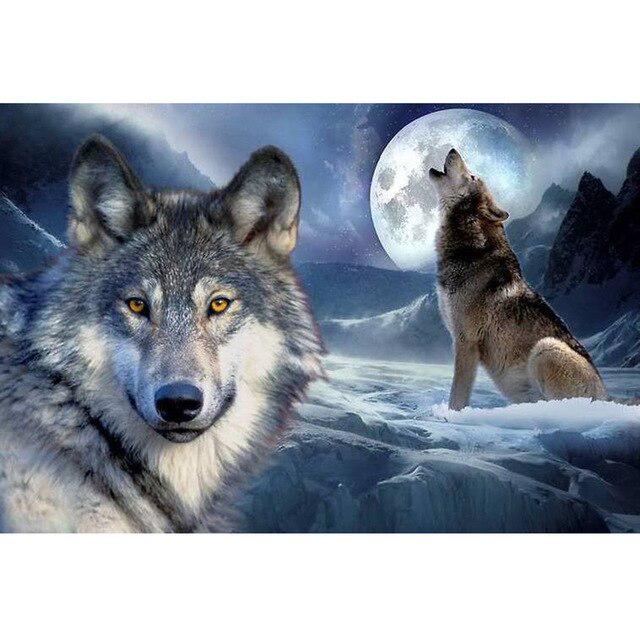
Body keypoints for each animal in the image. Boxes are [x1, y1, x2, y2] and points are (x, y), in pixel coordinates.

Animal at [429, 148, 607, 411]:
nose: (452, 149)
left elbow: (457, 397)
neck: (469, 249)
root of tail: (607, 396)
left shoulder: (466, 342)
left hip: (546, 348)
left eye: (472, 176)